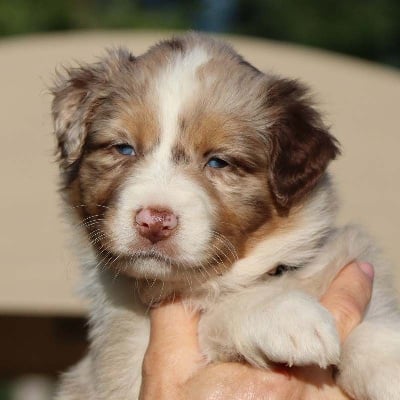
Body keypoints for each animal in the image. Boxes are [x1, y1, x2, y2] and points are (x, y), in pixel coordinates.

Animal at [52, 34, 400, 400]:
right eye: (123, 148)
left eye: (219, 162)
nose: (154, 221)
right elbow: (219, 308)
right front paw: (288, 313)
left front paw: (388, 363)